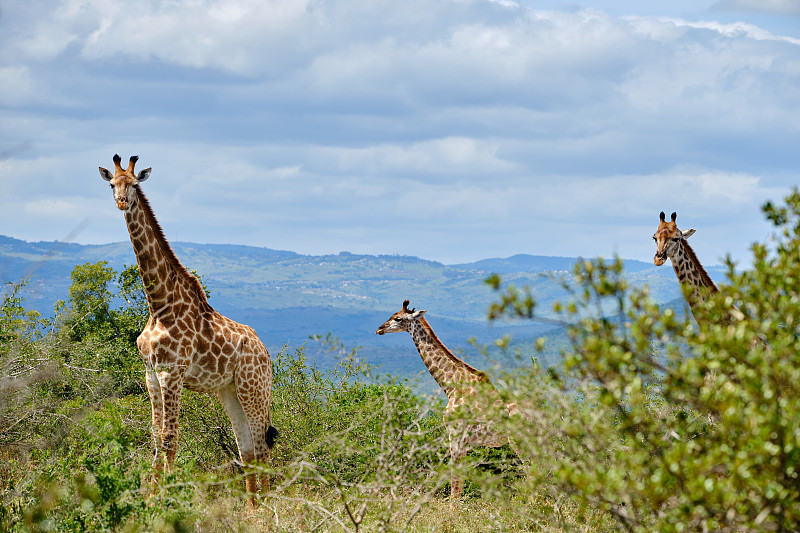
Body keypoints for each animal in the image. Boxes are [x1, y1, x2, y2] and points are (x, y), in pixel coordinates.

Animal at [99, 155, 278, 508]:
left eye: (135, 184)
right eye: (112, 184)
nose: (121, 202)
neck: (159, 304)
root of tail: (265, 351)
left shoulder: (173, 372)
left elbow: (170, 437)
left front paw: (165, 501)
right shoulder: (150, 373)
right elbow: (156, 437)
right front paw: (150, 500)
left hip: (254, 387)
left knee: (261, 445)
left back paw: (266, 507)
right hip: (229, 391)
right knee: (246, 447)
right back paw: (251, 510)